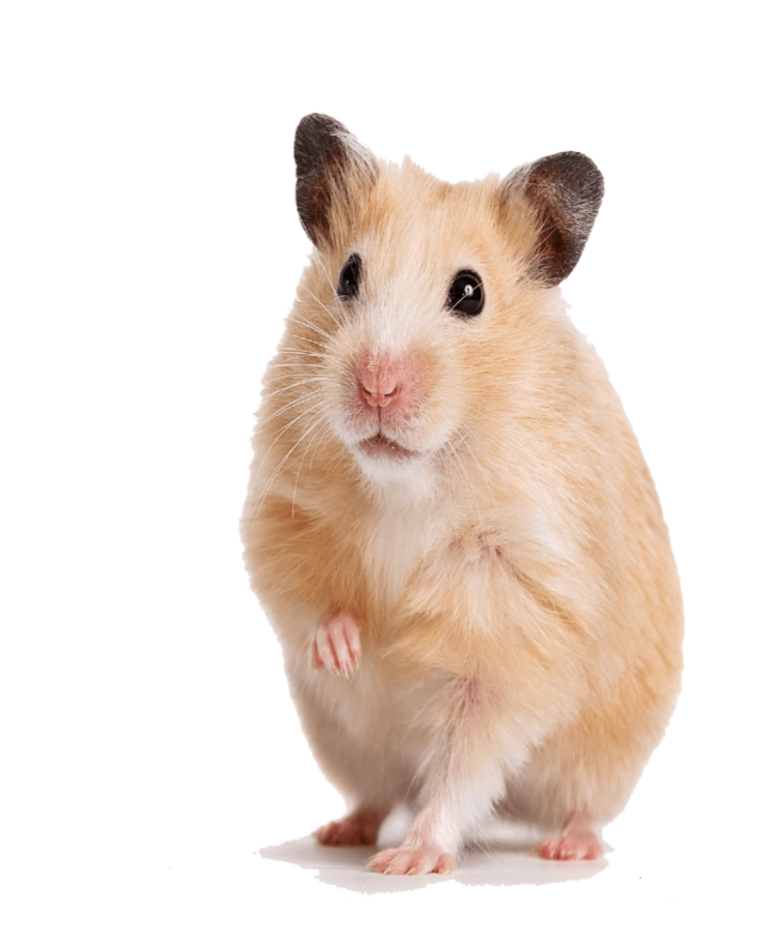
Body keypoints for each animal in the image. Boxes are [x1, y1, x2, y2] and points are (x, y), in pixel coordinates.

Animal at [238, 110, 685, 875]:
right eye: (348, 275)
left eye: (470, 293)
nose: (377, 386)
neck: (410, 481)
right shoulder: (281, 509)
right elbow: (307, 594)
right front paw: (348, 651)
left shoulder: (516, 619)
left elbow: (463, 760)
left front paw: (409, 863)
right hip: (345, 743)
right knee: (377, 793)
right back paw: (341, 832)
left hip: (608, 755)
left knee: (579, 803)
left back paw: (564, 847)